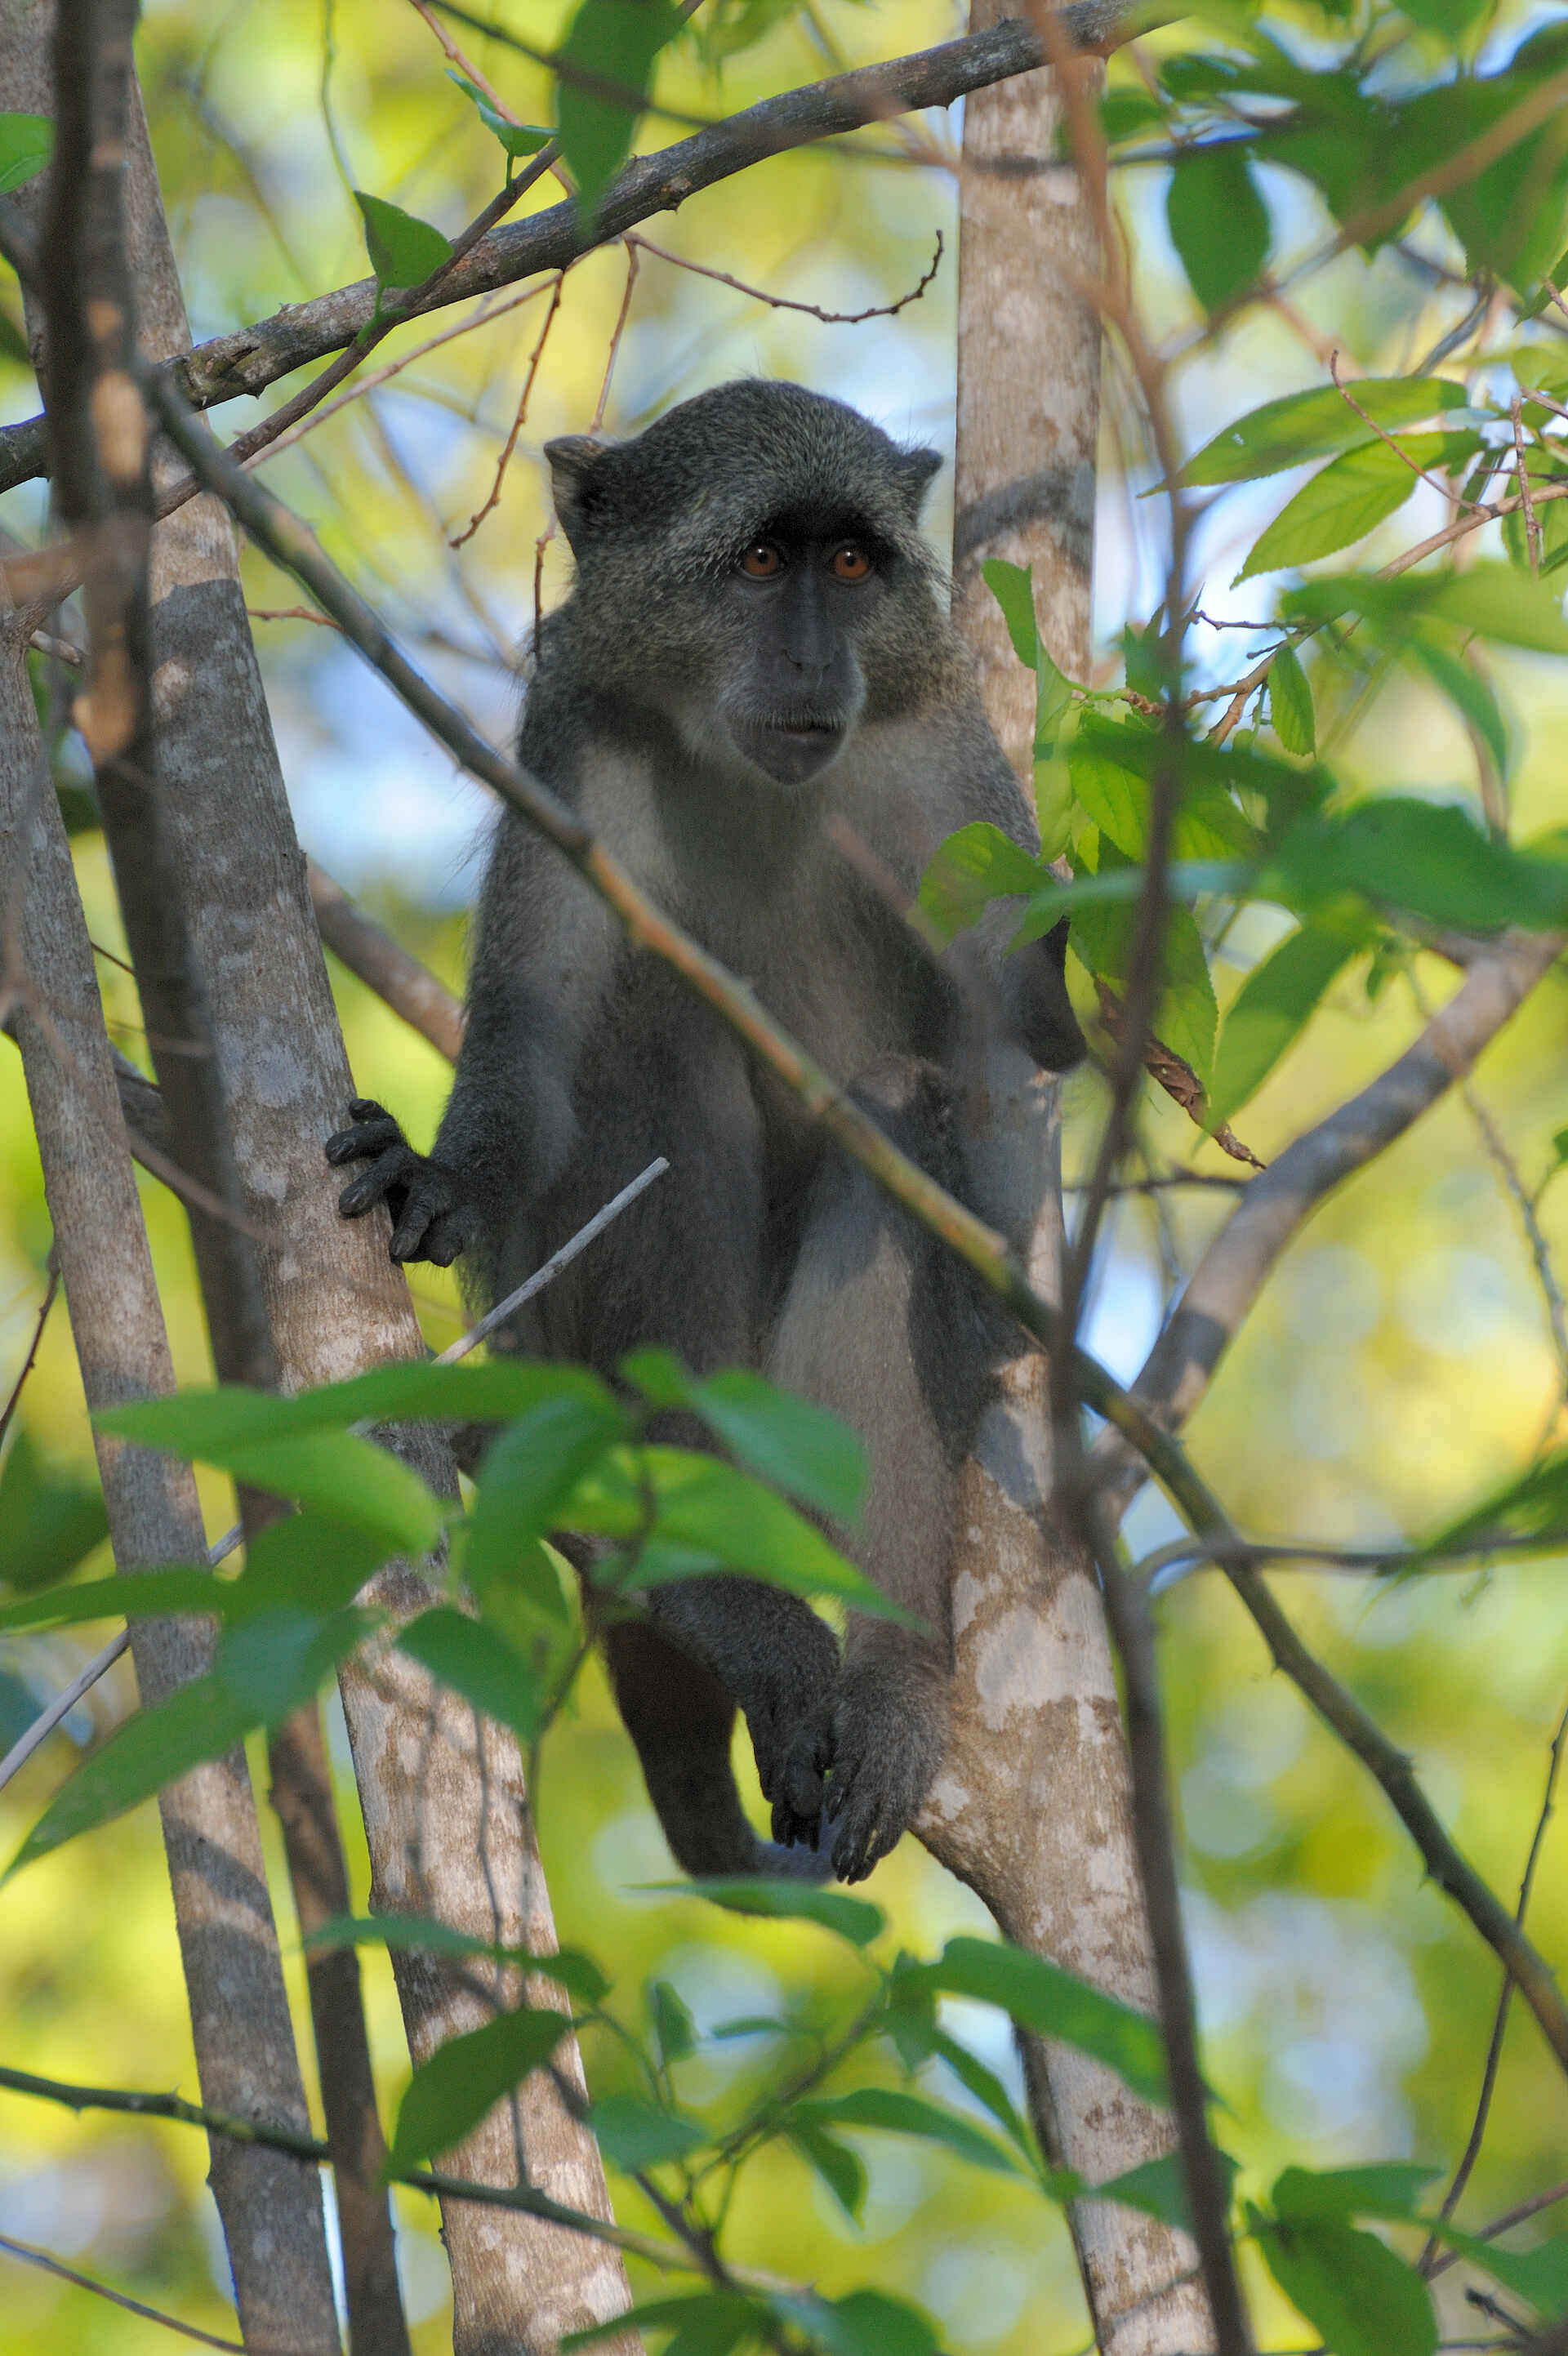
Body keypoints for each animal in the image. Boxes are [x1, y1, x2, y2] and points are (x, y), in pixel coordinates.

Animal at [328, 379, 1085, 1884]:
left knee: (893, 1125)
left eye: (848, 565)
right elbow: (536, 1043)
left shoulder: (946, 770)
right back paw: (702, 1562)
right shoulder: (577, 753)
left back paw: (885, 1672)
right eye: (756, 563)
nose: (811, 663)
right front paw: (441, 1172)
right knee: (650, 1024)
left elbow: (1002, 1070)